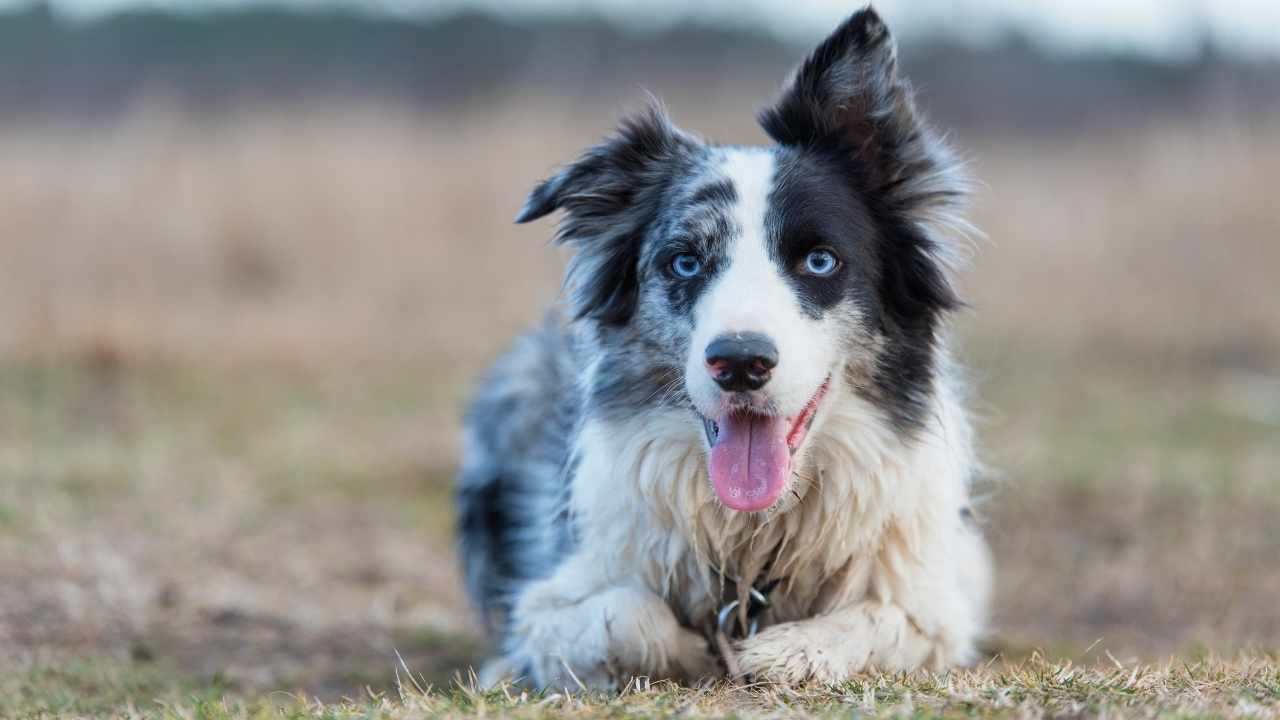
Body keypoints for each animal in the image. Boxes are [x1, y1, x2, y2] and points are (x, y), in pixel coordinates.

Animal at [458, 5, 988, 686]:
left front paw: (785, 651)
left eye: (820, 260)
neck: (752, 536)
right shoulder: (555, 594)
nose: (739, 363)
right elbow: (625, 616)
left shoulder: (936, 603)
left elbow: (876, 620)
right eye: (685, 262)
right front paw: (697, 651)